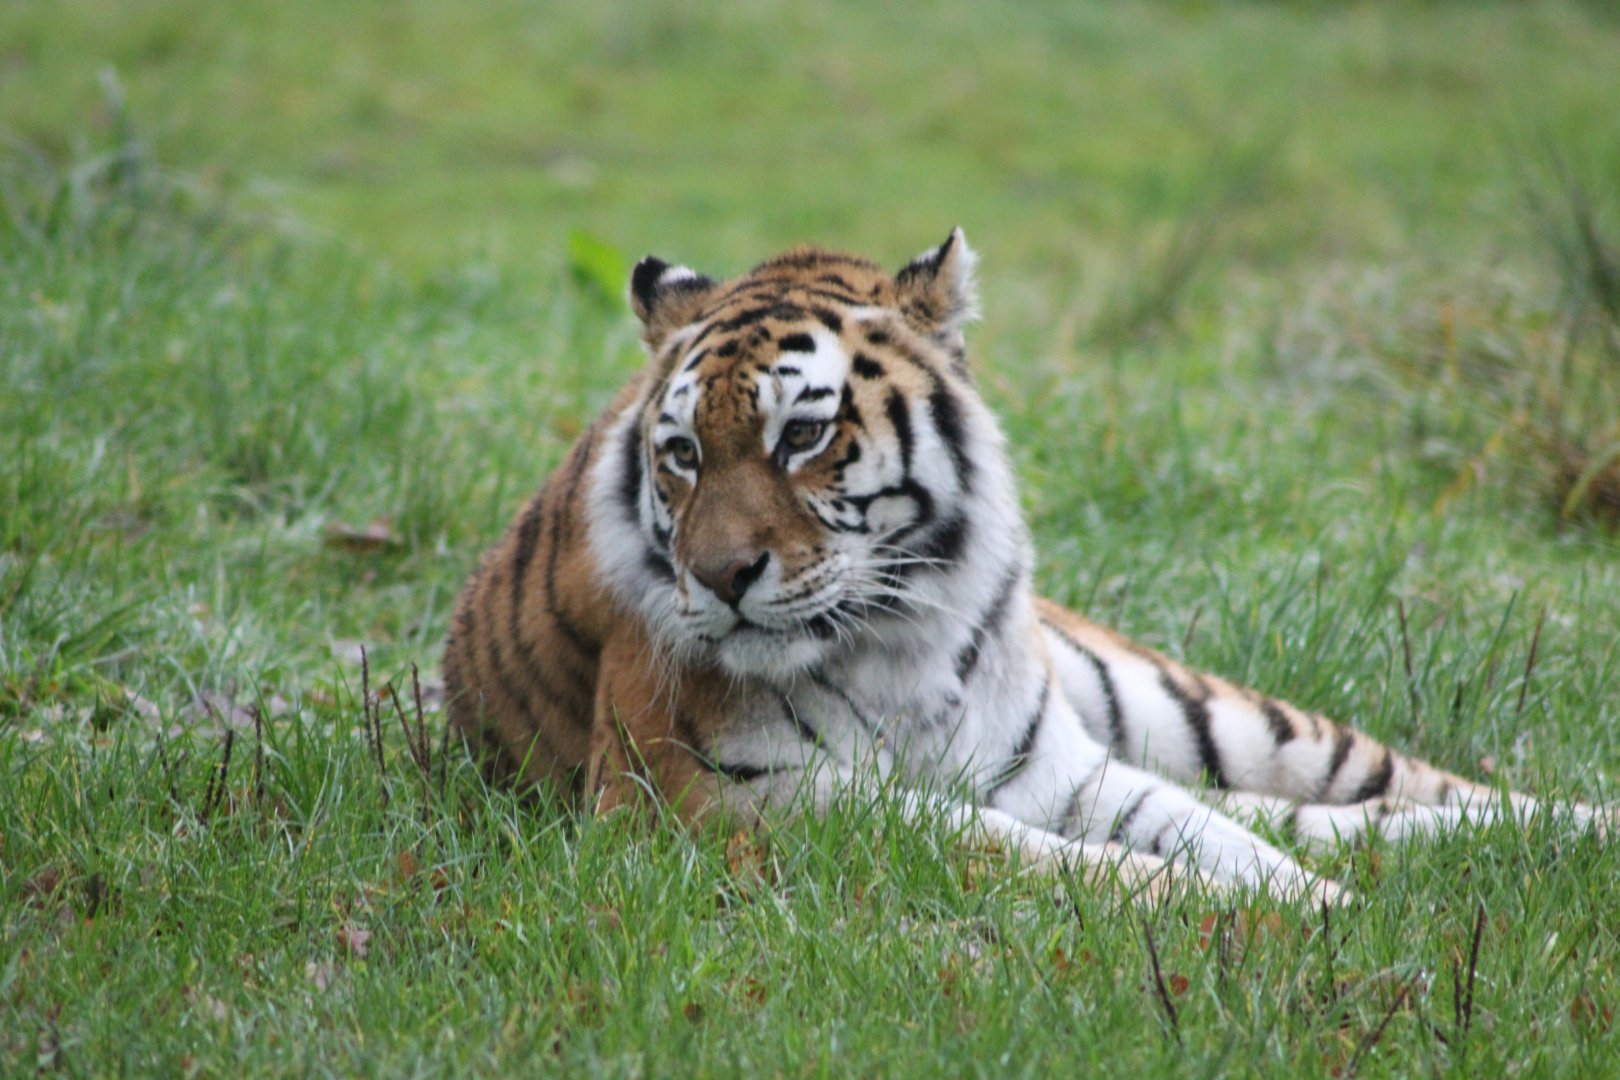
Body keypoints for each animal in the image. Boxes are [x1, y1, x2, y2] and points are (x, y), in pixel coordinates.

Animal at [442, 230, 1604, 900]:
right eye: (681, 454)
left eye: (800, 437)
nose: (721, 579)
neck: (893, 638)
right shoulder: (708, 799)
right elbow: (1027, 848)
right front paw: (1285, 908)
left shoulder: (1055, 767)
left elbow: (1200, 831)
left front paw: (1316, 904)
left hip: (1182, 705)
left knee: (1364, 781)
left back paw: (1578, 828)